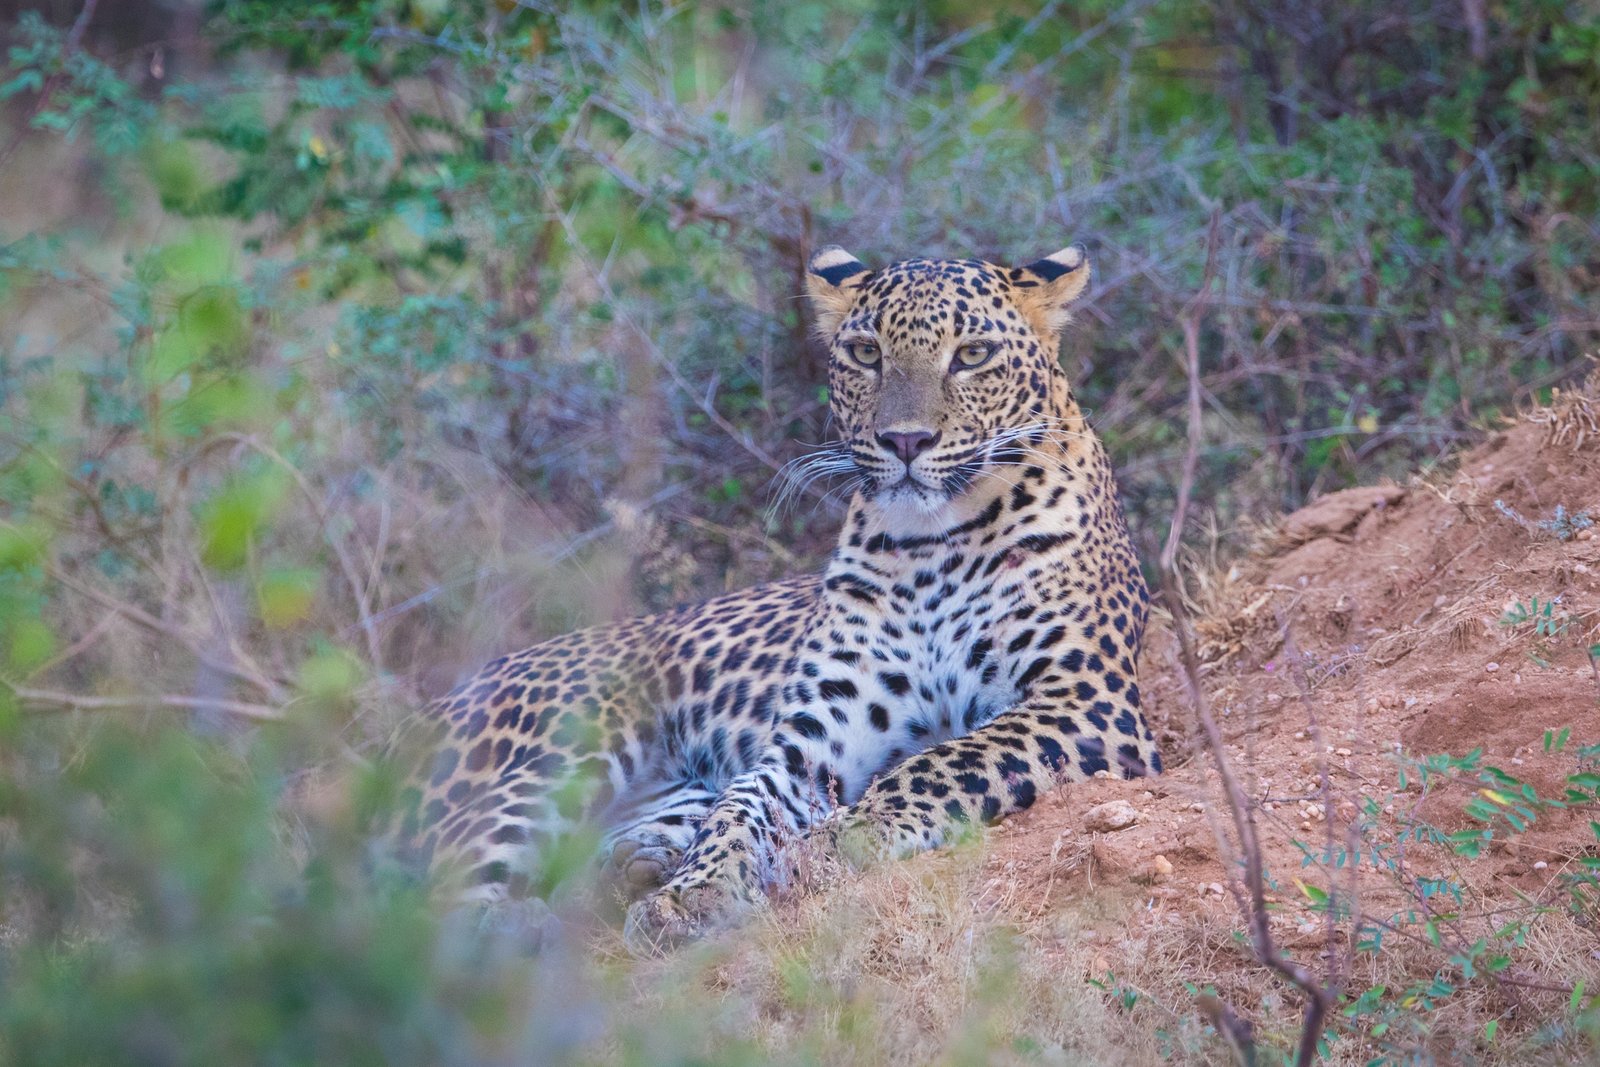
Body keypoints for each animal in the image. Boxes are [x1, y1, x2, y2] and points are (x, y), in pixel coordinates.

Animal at [394, 242, 1161, 955]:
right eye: (866, 353)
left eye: (972, 354)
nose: (905, 441)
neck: (931, 546)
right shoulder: (811, 736)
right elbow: (741, 804)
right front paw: (693, 894)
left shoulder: (1085, 701)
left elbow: (945, 759)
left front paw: (845, 835)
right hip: (566, 746)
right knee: (425, 894)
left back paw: (630, 866)